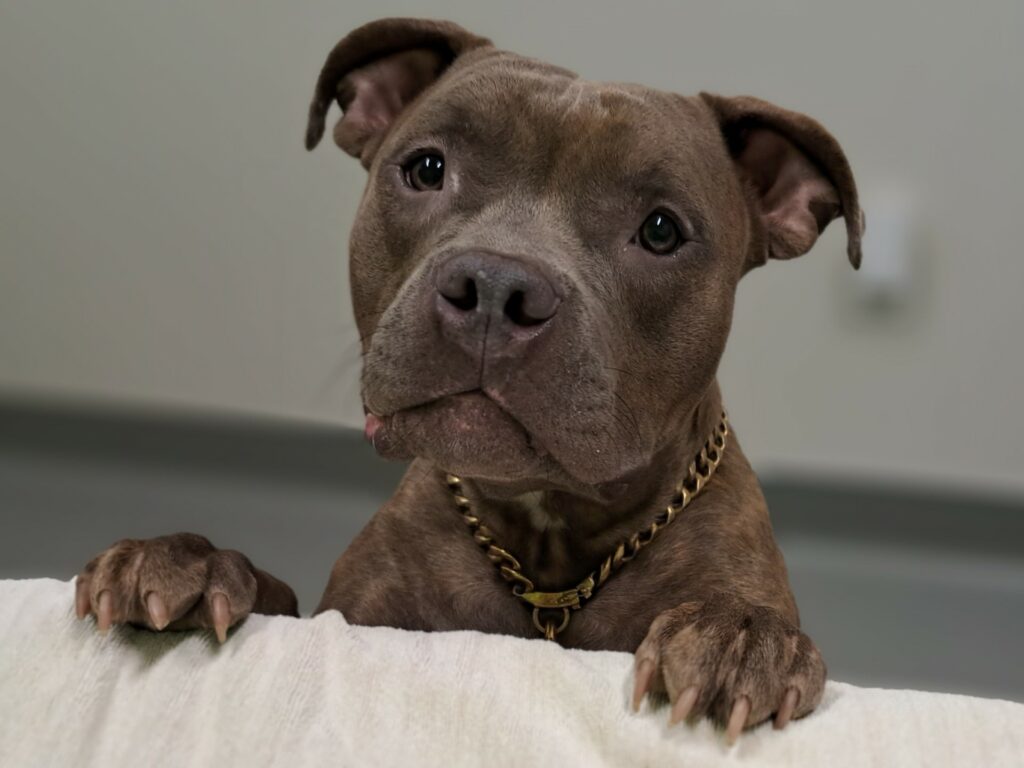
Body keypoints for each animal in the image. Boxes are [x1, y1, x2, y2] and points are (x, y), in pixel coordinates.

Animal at [72, 16, 860, 741]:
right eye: (426, 168)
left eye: (662, 230)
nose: (496, 286)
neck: (546, 544)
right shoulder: (351, 615)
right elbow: (275, 599)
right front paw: (190, 562)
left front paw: (739, 637)